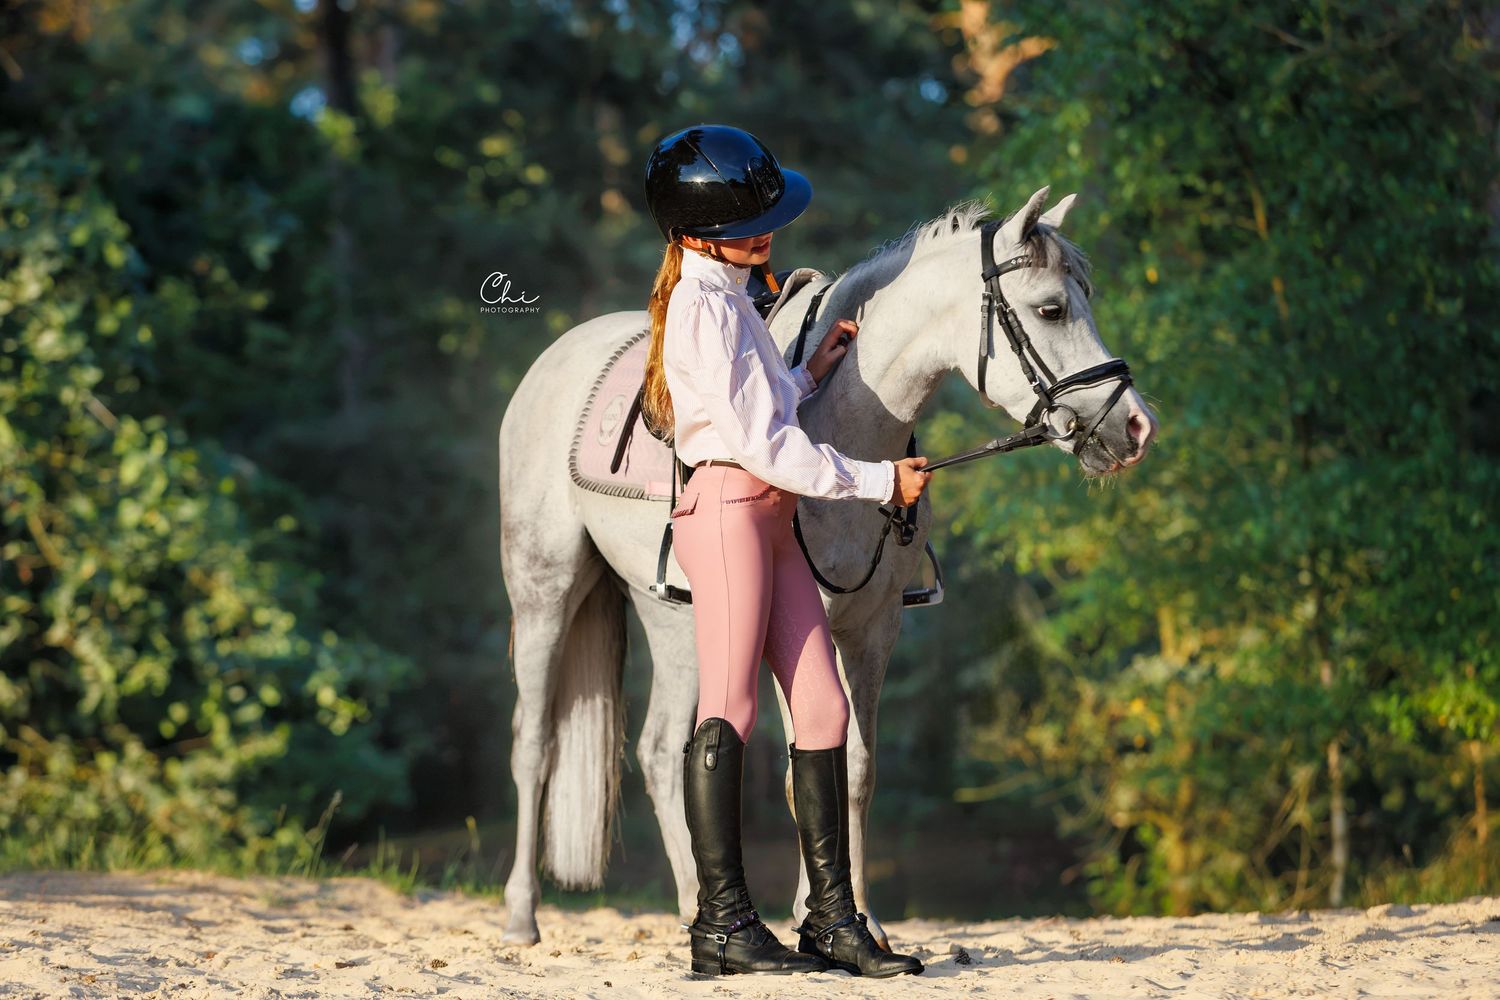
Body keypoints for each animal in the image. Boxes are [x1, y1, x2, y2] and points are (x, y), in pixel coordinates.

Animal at [497, 187, 1157, 946]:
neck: (840, 428)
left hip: (674, 617)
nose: (1136, 426)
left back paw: (696, 907)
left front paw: (863, 918)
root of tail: (551, 362)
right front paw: (821, 919)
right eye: (1051, 308)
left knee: (663, 751)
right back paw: (521, 916)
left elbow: (858, 770)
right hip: (544, 591)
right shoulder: (801, 624)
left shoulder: (872, 630)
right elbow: (804, 767)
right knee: (534, 741)